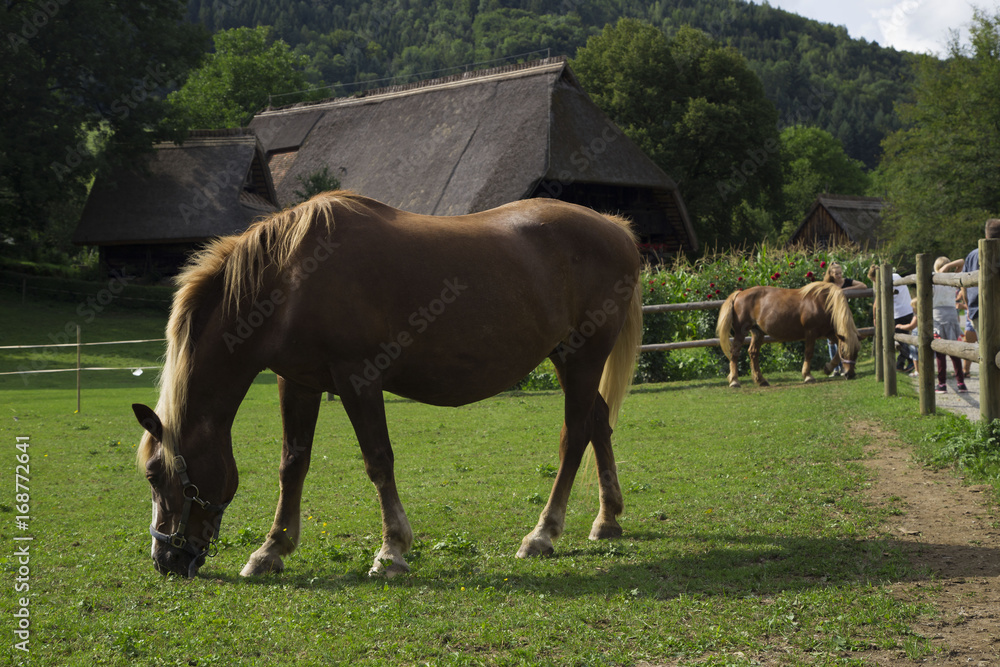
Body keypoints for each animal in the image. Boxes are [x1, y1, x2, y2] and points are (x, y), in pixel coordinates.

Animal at [131, 191, 643, 578]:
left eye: (155, 475)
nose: (164, 559)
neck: (290, 279)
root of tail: (614, 227)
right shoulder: (296, 382)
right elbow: (292, 464)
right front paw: (271, 549)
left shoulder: (359, 377)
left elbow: (378, 461)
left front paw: (392, 550)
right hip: (567, 358)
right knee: (599, 423)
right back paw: (607, 519)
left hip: (583, 356)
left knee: (576, 436)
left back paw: (543, 533)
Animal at [715, 281, 859, 388]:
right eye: (845, 351)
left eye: (857, 351)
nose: (850, 375)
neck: (823, 302)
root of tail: (739, 294)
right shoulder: (811, 333)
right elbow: (809, 353)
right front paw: (808, 376)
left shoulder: (829, 333)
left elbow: (836, 353)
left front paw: (828, 368)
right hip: (741, 332)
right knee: (734, 353)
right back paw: (734, 381)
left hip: (758, 332)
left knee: (753, 353)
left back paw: (761, 380)